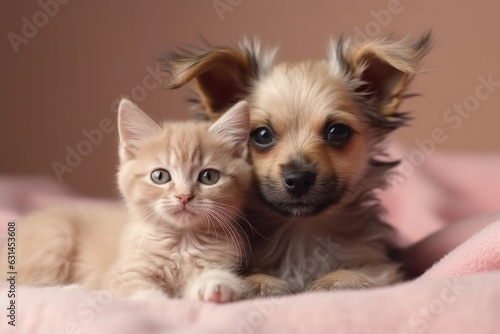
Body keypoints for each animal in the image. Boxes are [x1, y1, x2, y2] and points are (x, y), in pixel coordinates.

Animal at [0, 98, 250, 302]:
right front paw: (159, 303)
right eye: (160, 176)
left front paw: (215, 285)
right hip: (55, 237)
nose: (184, 196)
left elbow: (219, 277)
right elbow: (141, 292)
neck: (182, 242)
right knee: (17, 286)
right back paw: (72, 290)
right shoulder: (122, 273)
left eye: (209, 177)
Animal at [159, 32, 430, 296]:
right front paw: (259, 283)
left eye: (338, 132)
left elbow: (361, 275)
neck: (301, 230)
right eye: (262, 135)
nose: (298, 179)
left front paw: (333, 281)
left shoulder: (381, 266)